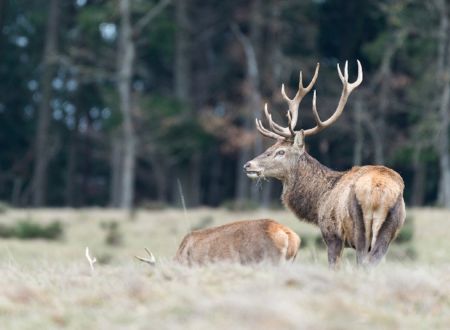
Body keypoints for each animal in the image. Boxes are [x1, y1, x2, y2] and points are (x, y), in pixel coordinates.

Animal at [244, 61, 406, 268]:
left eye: (281, 152)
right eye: (271, 147)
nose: (248, 165)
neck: (319, 200)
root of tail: (379, 189)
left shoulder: (332, 234)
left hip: (359, 226)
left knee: (363, 261)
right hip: (390, 229)